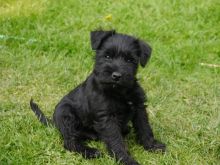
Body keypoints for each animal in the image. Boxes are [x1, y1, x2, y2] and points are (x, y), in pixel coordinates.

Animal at [30, 30, 165, 165]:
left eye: (129, 60)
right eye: (107, 56)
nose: (116, 76)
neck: (119, 92)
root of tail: (55, 123)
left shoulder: (139, 107)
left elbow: (144, 128)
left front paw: (152, 145)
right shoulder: (107, 118)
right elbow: (116, 140)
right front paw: (126, 159)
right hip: (66, 114)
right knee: (70, 142)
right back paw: (90, 152)